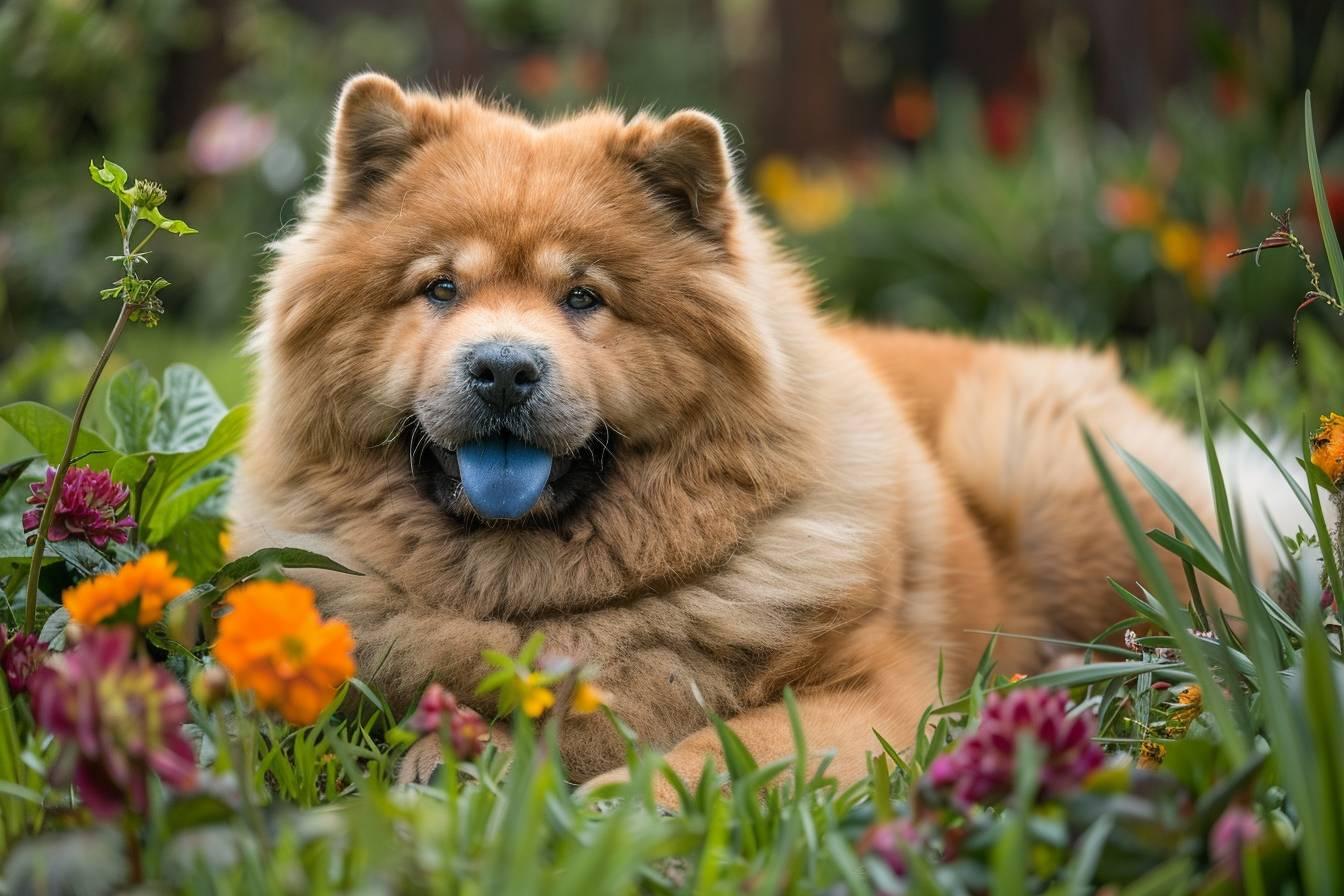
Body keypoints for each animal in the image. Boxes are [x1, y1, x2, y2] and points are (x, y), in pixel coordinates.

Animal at [228, 73, 1247, 795]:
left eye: (583, 298)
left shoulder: (873, 696)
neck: (542, 599)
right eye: (440, 288)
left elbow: (723, 752)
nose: (505, 368)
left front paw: (620, 807)